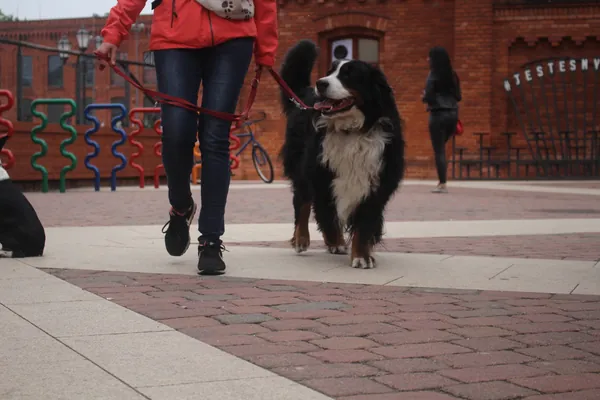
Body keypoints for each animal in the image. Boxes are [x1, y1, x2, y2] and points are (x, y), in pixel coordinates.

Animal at [278, 40, 405, 269]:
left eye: (349, 75)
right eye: (330, 72)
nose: (320, 83)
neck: (352, 130)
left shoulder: (377, 181)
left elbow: (365, 223)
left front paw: (362, 255)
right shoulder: (321, 173)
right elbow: (326, 213)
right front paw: (336, 241)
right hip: (301, 165)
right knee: (302, 201)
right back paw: (301, 238)